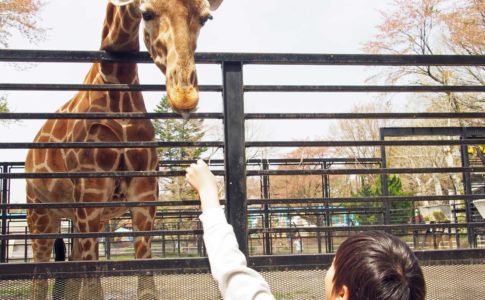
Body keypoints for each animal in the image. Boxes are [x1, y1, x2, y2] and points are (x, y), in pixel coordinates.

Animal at [25, 1, 222, 298]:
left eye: (205, 18)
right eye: (146, 13)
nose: (184, 96)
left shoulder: (144, 191)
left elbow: (146, 280)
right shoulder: (91, 190)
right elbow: (93, 286)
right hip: (40, 212)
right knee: (40, 274)